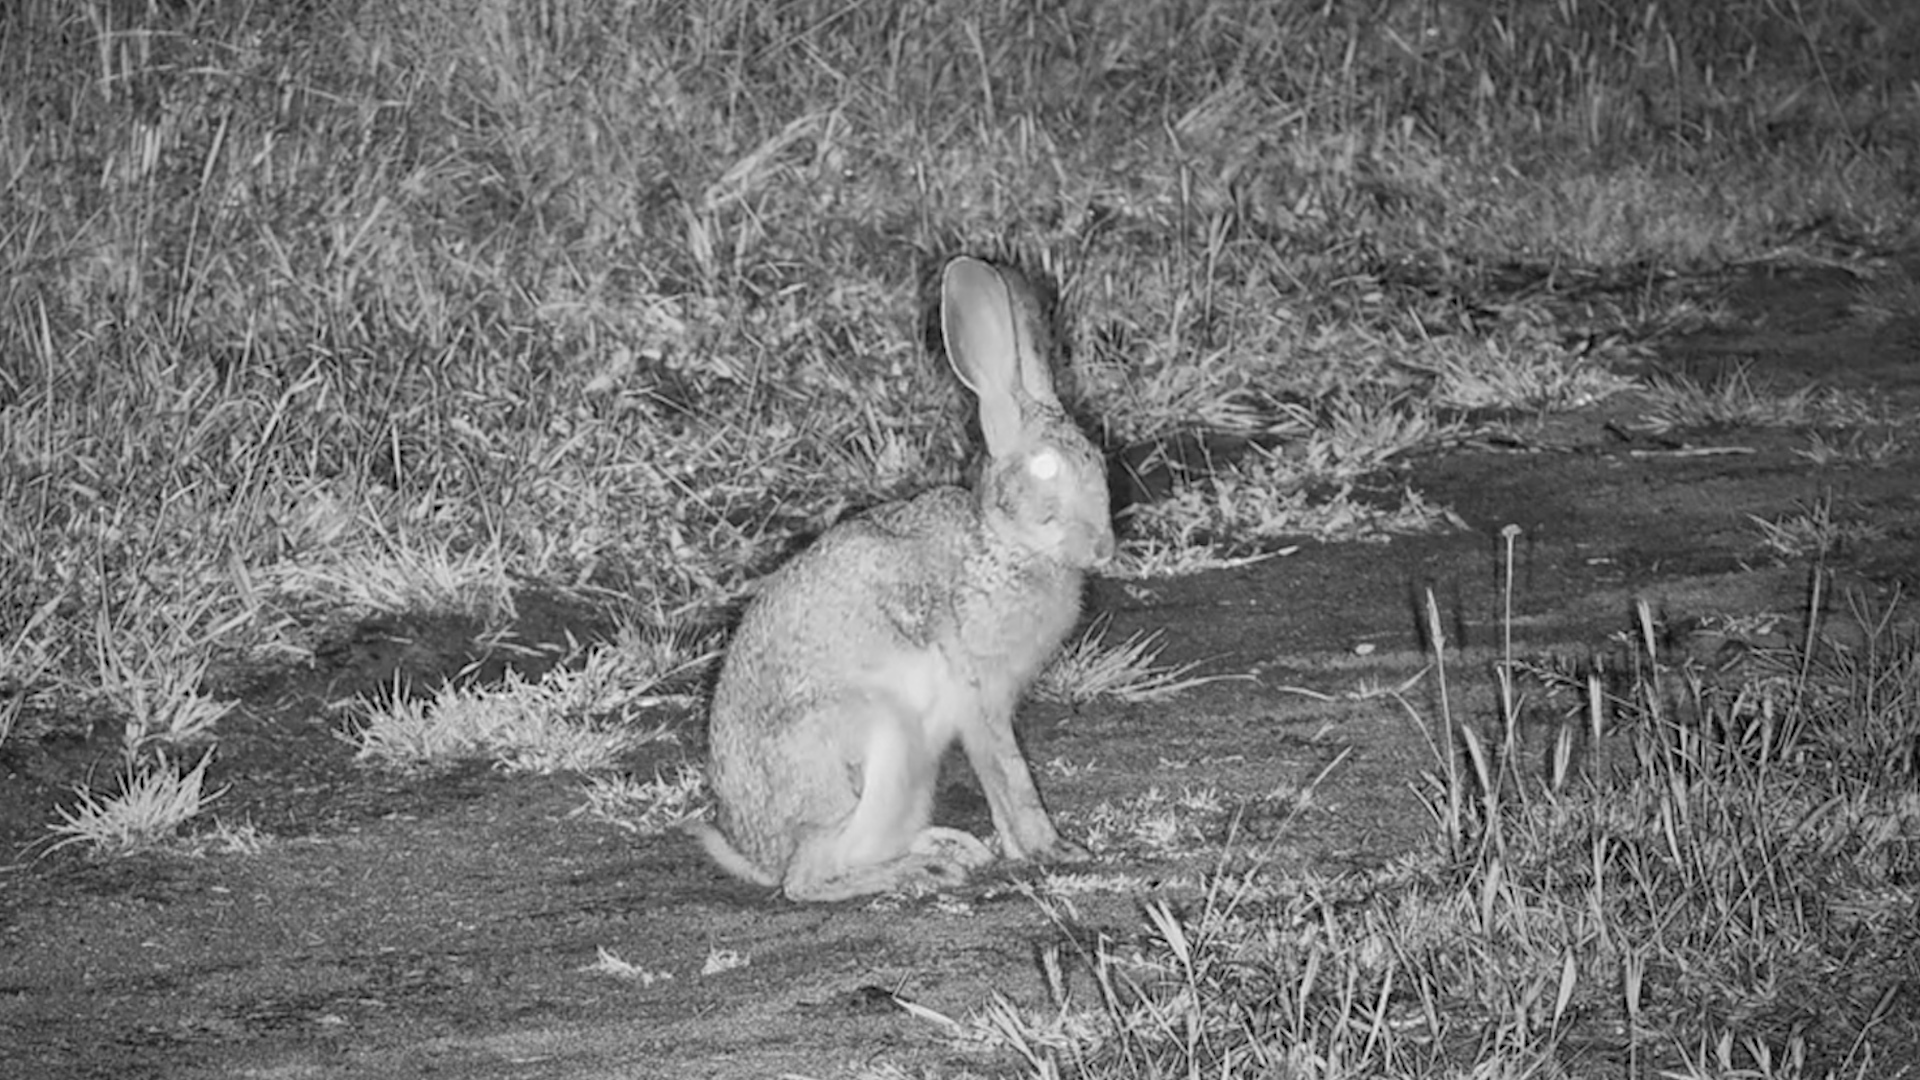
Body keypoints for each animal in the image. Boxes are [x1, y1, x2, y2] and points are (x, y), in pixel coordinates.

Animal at [684, 255, 1114, 902]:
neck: (1002, 543)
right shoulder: (978, 693)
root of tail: (757, 852)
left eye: (1100, 459)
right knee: (806, 881)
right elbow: (1010, 775)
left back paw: (947, 849)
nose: (1104, 547)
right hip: (874, 741)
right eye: (1045, 468)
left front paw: (1024, 850)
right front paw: (1053, 850)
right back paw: (922, 869)